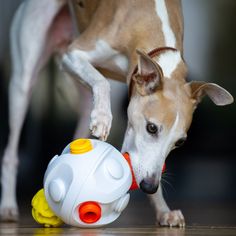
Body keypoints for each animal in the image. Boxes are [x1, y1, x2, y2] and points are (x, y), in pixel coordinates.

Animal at [0, 0, 233, 227]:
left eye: (180, 142)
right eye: (152, 128)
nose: (149, 186)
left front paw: (164, 211)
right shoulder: (73, 54)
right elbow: (102, 83)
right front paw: (103, 119)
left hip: (84, 96)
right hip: (24, 80)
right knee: (12, 150)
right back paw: (8, 206)